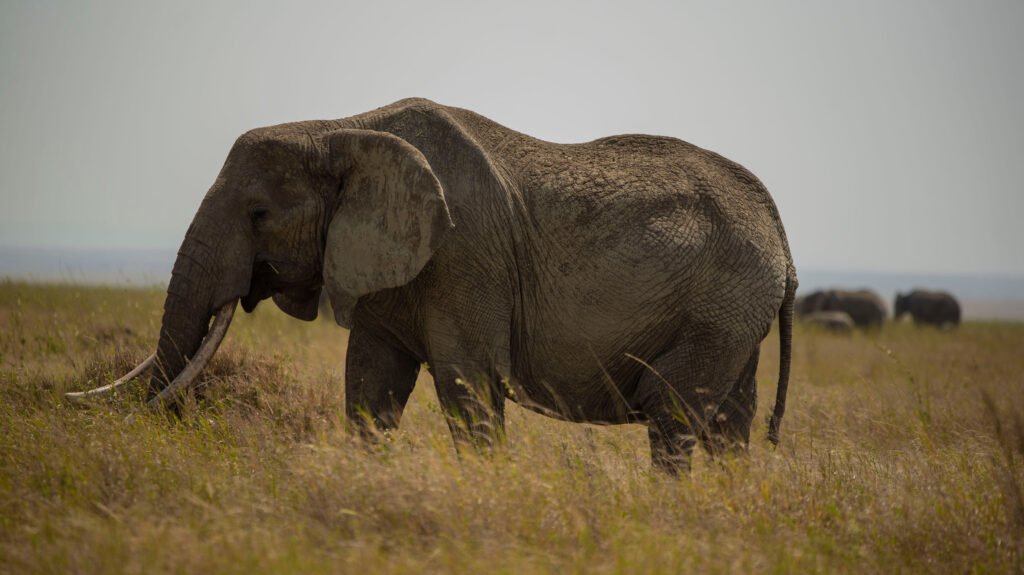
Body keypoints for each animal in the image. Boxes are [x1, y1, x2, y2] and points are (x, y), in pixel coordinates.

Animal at [67, 98, 798, 472]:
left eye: (258, 215)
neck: (337, 130)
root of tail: (780, 231)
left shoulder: (464, 253)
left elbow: (468, 381)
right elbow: (370, 383)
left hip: (719, 305)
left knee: (672, 414)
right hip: (735, 313)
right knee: (727, 424)